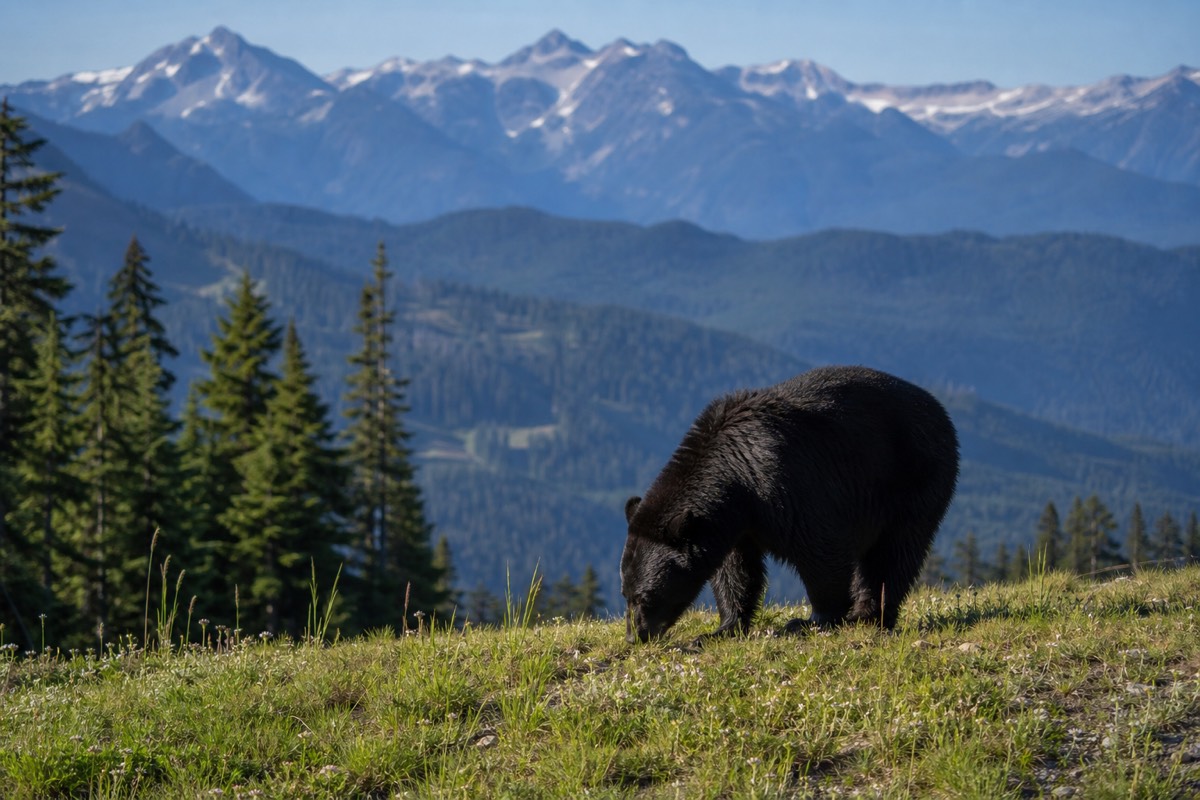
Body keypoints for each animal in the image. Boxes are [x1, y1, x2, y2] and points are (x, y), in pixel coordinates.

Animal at [621, 365, 959, 643]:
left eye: (643, 596)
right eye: (625, 593)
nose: (635, 636)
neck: (735, 476)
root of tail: (938, 409)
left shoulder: (784, 482)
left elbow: (821, 548)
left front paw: (812, 620)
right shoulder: (734, 523)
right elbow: (736, 571)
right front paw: (720, 629)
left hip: (914, 478)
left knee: (894, 552)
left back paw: (867, 614)